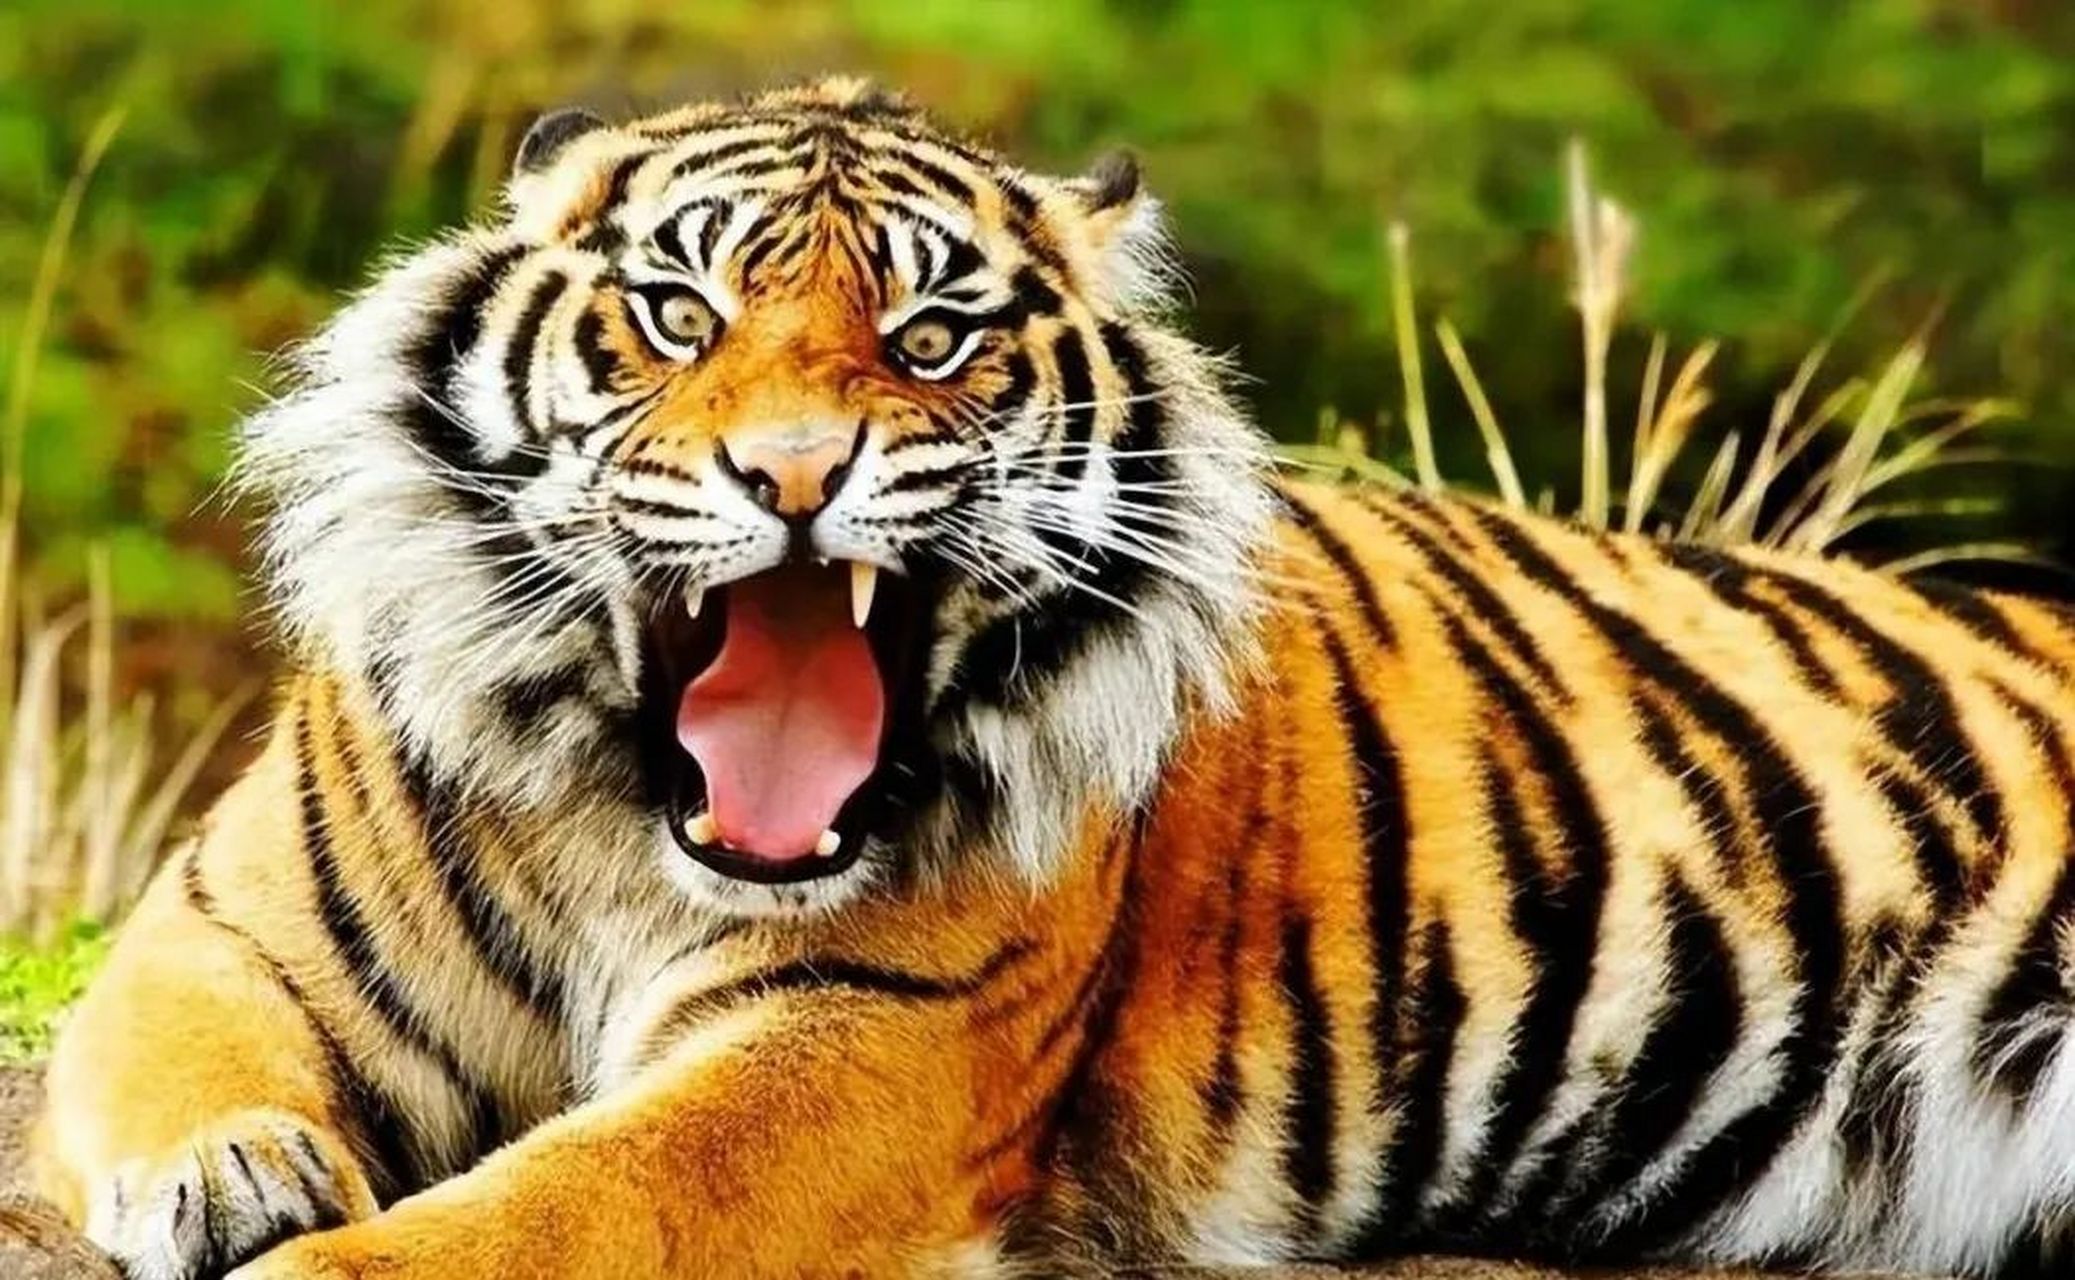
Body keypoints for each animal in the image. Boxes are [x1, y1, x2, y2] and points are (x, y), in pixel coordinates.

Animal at [30, 74, 2075, 1280]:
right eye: (679, 317)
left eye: (933, 339)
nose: (792, 473)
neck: (630, 827)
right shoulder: (219, 924)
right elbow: (184, 1058)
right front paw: (228, 1173)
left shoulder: (858, 1045)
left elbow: (561, 1206)